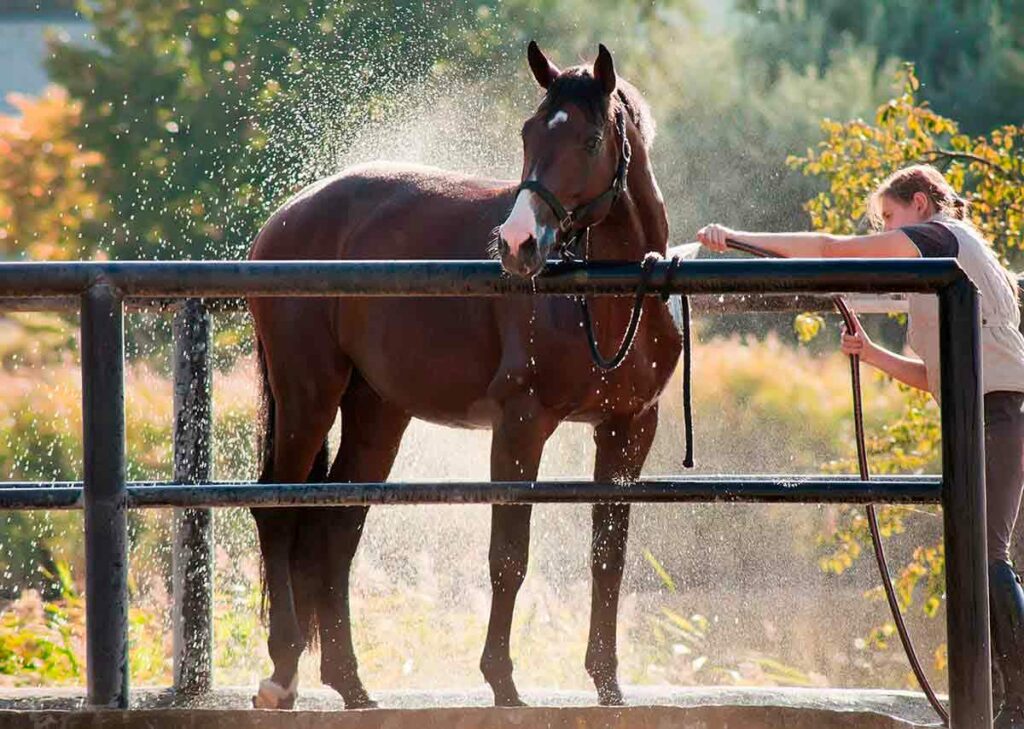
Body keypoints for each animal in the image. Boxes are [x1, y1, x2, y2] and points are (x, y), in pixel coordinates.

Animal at [246, 42, 679, 708]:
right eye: (528, 132)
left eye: (589, 139)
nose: (519, 243)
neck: (603, 298)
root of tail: (287, 217)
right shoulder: (521, 426)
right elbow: (509, 557)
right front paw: (502, 681)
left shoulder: (629, 429)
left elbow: (608, 557)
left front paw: (607, 685)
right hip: (307, 399)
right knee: (277, 509)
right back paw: (283, 671)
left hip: (376, 413)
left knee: (337, 526)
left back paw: (351, 684)